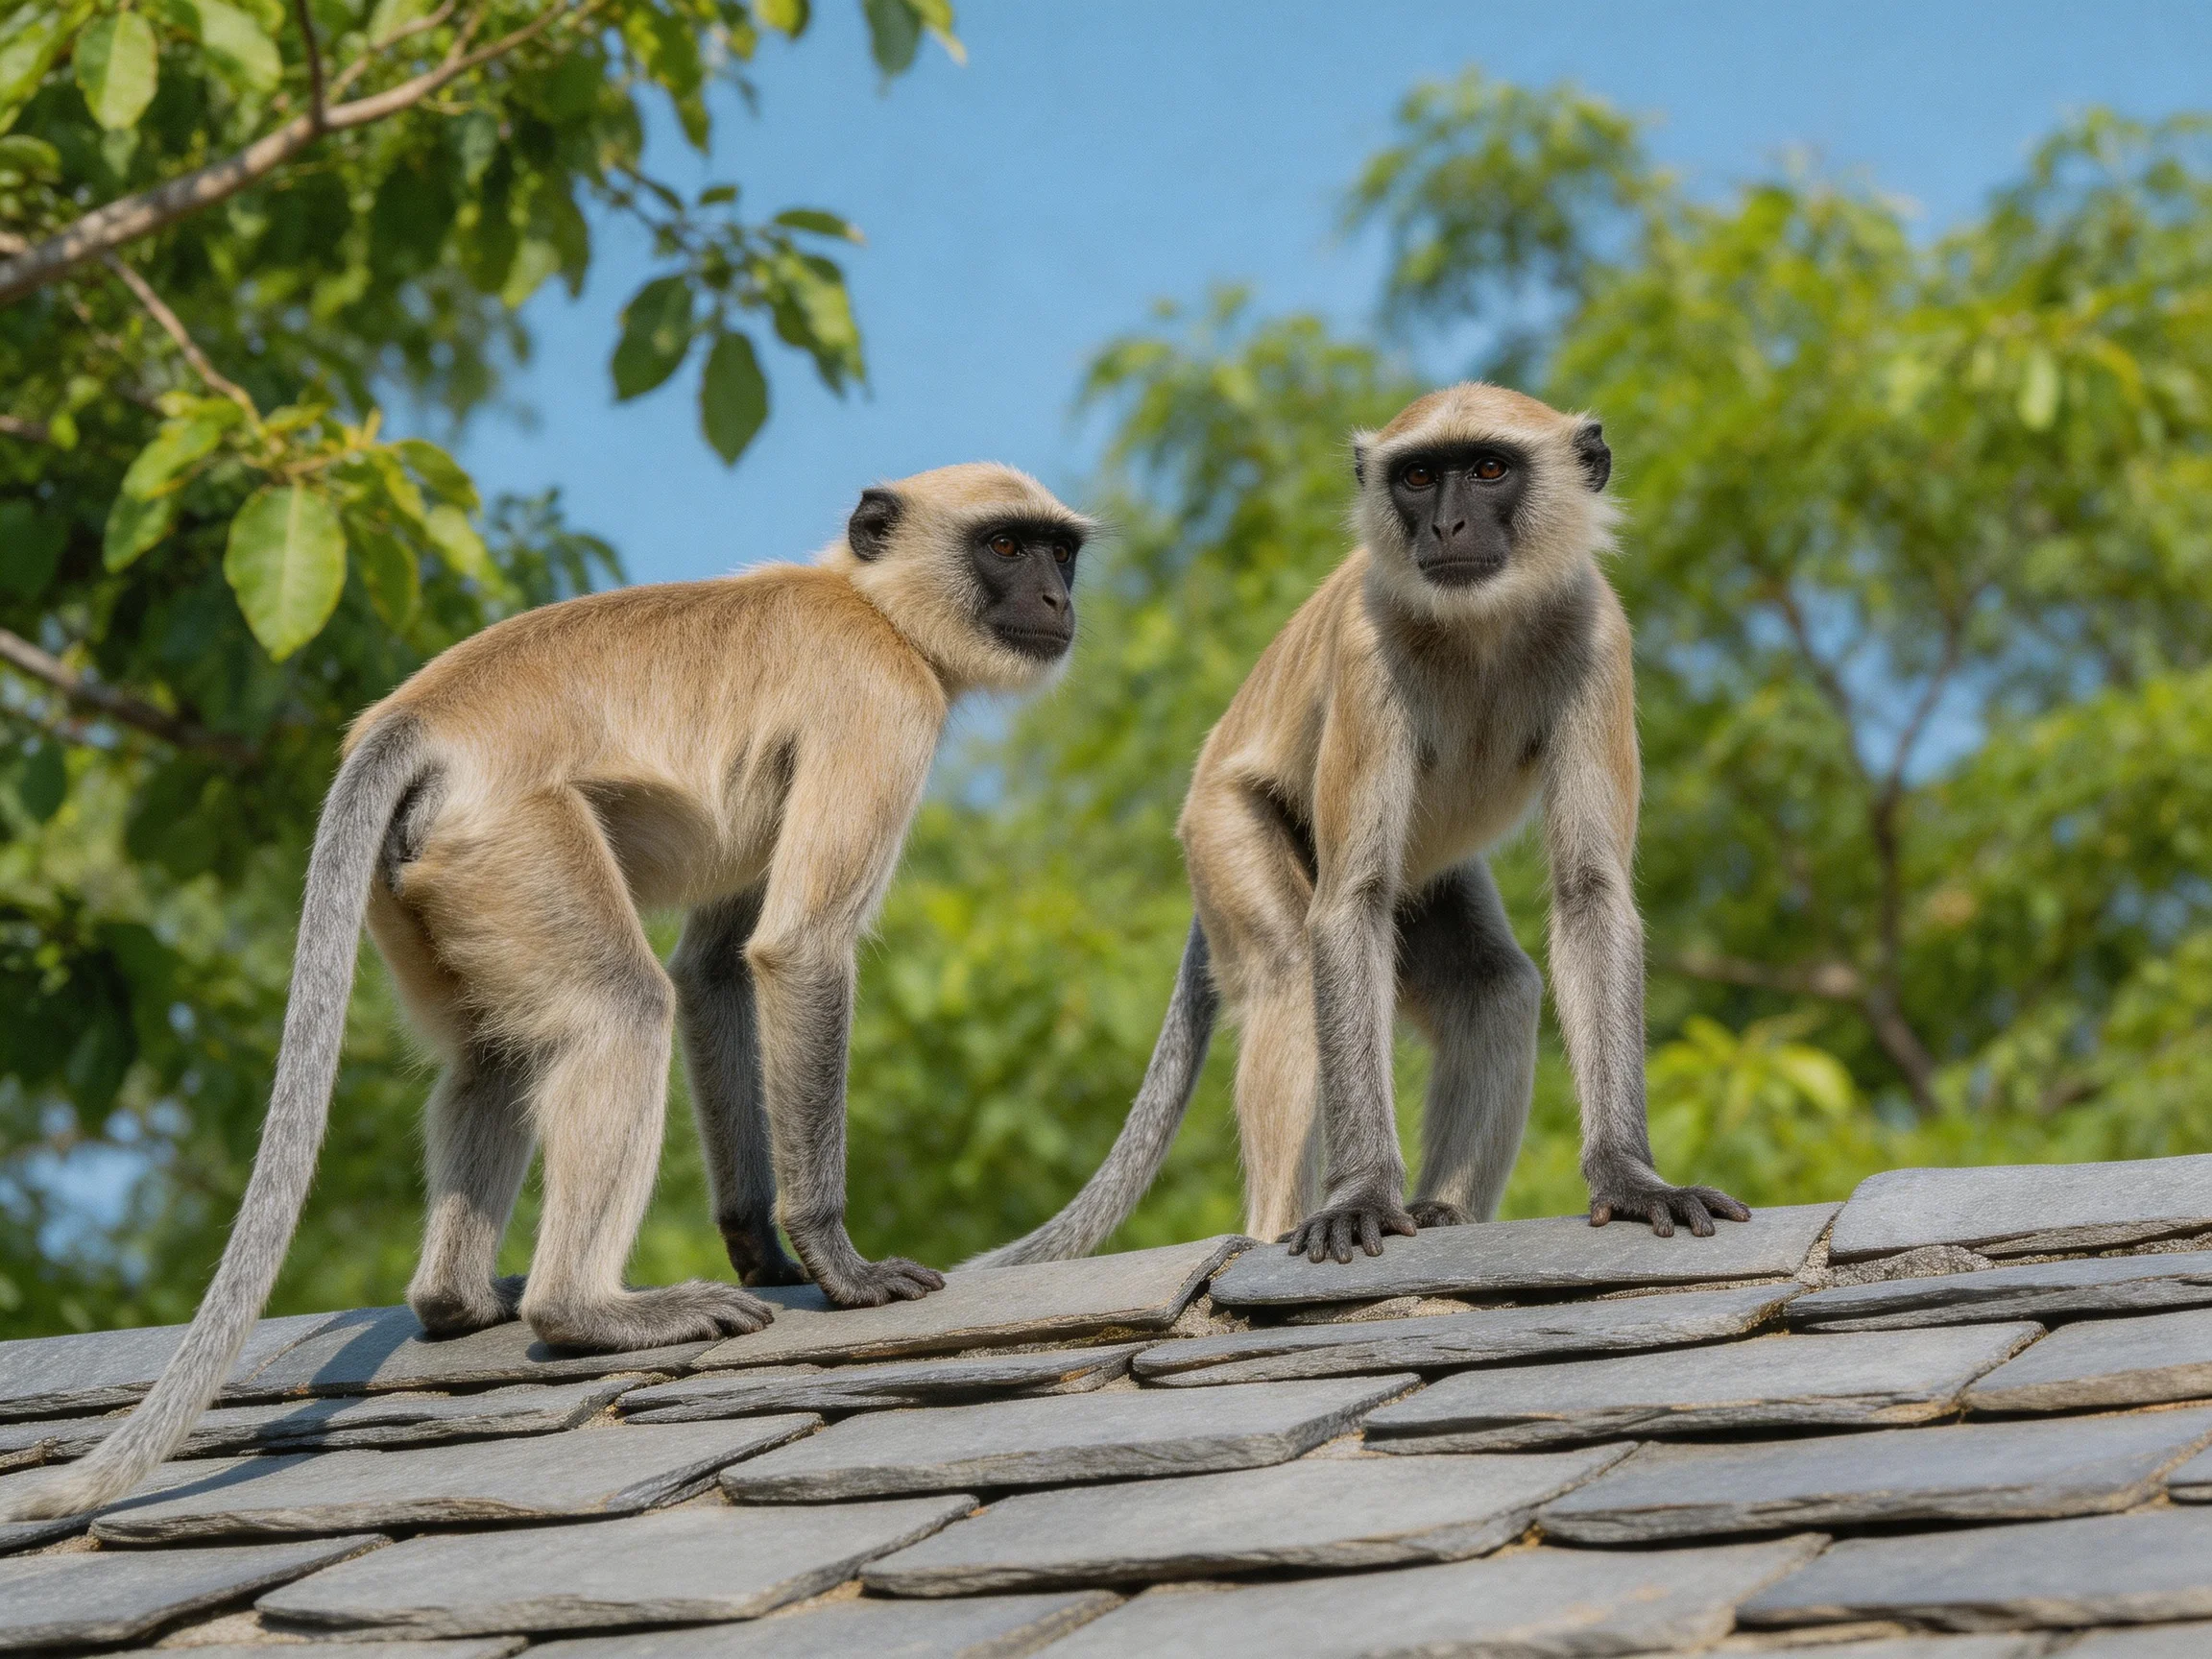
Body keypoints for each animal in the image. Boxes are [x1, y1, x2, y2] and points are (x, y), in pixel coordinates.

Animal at [0, 463, 1094, 1524]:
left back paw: (458, 1302)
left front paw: (762, 1250)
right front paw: (837, 1262)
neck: (866, 602)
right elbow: (798, 950)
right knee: (622, 1011)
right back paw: (582, 1315)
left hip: (425, 881)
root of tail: (421, 720)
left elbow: (716, 968)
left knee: (495, 1055)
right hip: (513, 834)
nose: (1056, 599)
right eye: (1006, 547)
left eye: (1060, 554)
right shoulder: (881, 696)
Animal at [970, 384, 1749, 1272]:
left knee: (1496, 989)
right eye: (1418, 477)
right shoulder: (1367, 647)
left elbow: (1591, 893)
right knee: (1289, 968)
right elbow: (1350, 904)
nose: (1446, 525)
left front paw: (1630, 1178)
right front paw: (1363, 1197)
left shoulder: (1598, 634)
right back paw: (1279, 1227)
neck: (1479, 628)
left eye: (1488, 469)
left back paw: (1443, 1210)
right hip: (1222, 827)